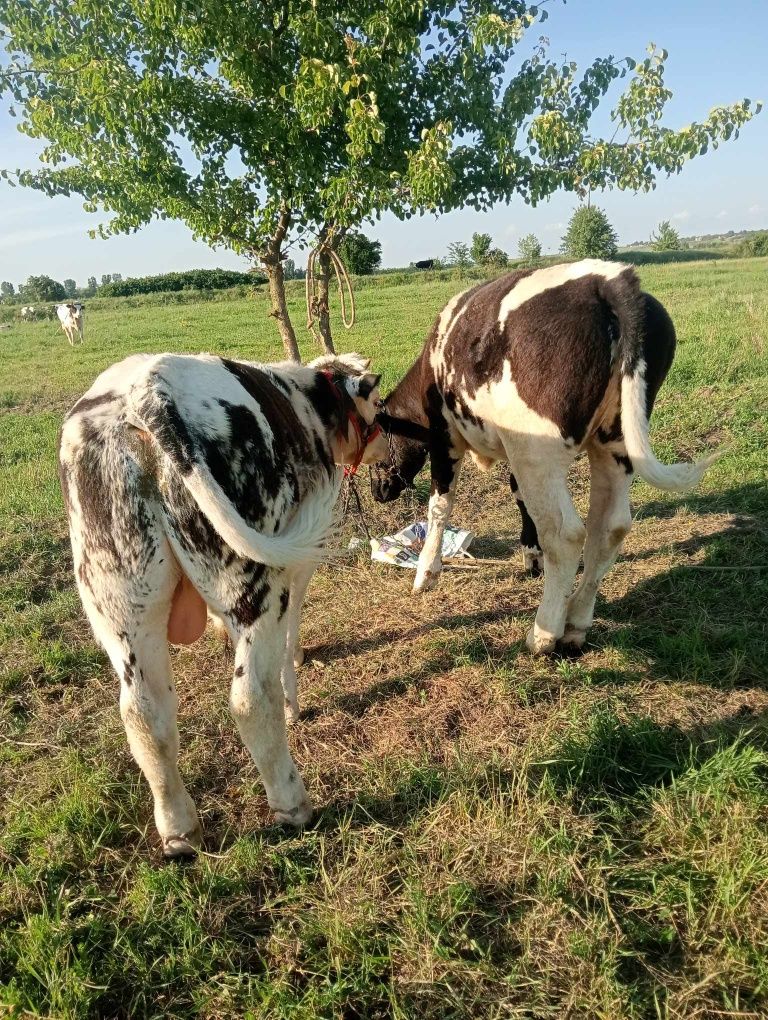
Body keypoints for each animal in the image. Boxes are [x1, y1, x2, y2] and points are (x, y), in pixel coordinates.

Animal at [56, 346, 383, 856]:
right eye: (379, 404)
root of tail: (148, 393)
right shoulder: (297, 562)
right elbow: (291, 630)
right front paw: (296, 688)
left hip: (121, 603)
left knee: (144, 714)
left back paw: (179, 831)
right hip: (254, 582)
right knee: (251, 698)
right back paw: (293, 805)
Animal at [369, 261, 718, 652]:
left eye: (375, 448)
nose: (377, 491)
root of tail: (608, 278)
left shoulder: (448, 441)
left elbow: (439, 506)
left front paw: (426, 573)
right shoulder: (514, 447)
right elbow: (518, 494)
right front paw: (531, 557)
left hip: (539, 454)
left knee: (566, 535)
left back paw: (543, 633)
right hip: (613, 445)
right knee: (609, 528)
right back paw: (576, 622)